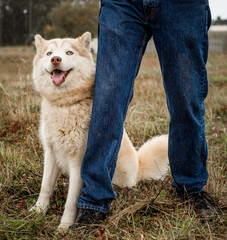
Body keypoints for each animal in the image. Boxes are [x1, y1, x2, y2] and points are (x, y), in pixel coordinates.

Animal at [30, 31, 169, 231]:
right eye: (49, 53)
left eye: (69, 52)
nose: (55, 59)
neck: (65, 104)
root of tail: (139, 167)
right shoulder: (51, 153)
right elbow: (46, 187)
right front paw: (38, 211)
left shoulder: (79, 162)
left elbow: (71, 200)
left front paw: (65, 225)